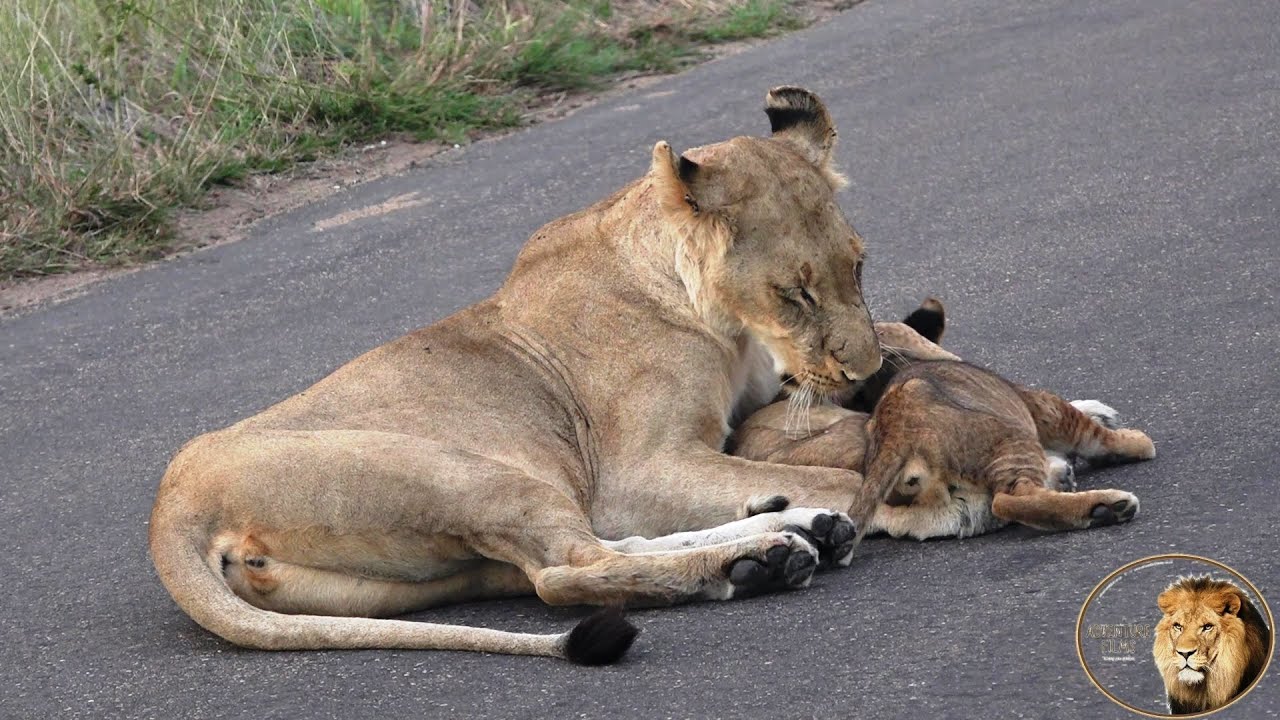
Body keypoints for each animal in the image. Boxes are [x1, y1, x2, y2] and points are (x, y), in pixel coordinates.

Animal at [149, 87, 895, 664]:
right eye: (793, 294)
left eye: (857, 267)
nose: (868, 369)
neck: (731, 327)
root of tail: (171, 509)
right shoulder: (633, 471)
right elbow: (847, 474)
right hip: (473, 477)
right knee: (566, 571)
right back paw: (766, 557)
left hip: (429, 577)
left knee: (581, 554)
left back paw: (791, 531)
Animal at [730, 300, 1155, 539]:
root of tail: (899, 433)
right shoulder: (1042, 406)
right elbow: (1087, 429)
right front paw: (1133, 440)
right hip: (1009, 438)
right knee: (1010, 499)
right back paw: (1105, 505)